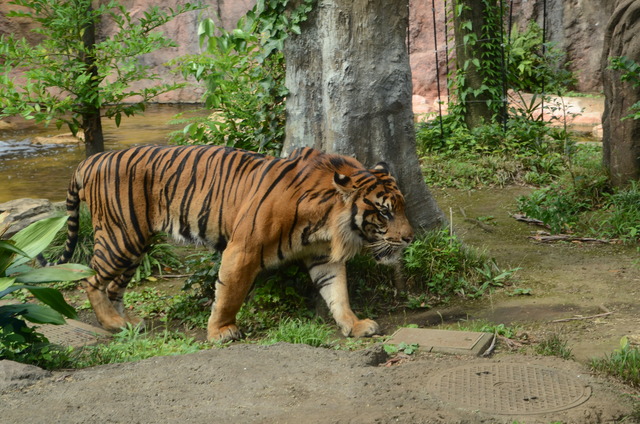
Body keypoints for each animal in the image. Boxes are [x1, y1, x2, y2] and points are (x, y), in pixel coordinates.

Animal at [43, 145, 416, 342]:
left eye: (401, 208)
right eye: (384, 213)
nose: (410, 237)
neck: (326, 222)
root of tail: (91, 159)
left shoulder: (323, 258)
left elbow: (338, 293)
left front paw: (355, 325)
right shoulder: (243, 250)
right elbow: (229, 294)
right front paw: (221, 331)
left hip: (137, 244)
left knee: (114, 285)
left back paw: (128, 324)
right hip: (121, 235)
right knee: (91, 280)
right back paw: (111, 324)